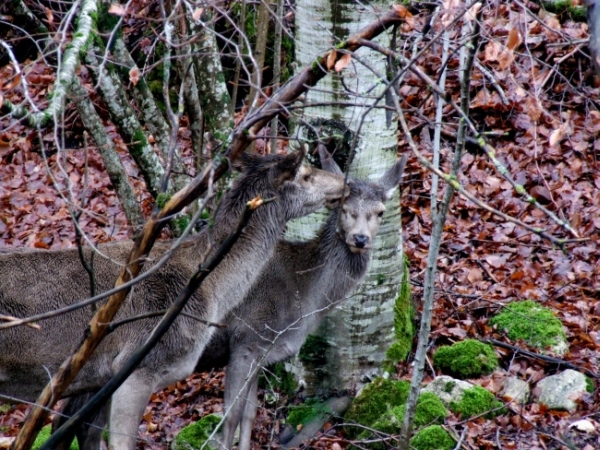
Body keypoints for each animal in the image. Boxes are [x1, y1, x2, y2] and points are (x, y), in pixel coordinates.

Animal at [52, 149, 408, 450]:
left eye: (380, 212)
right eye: (345, 209)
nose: (360, 239)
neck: (303, 292)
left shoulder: (262, 353)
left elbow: (249, 415)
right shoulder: (247, 338)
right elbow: (231, 418)